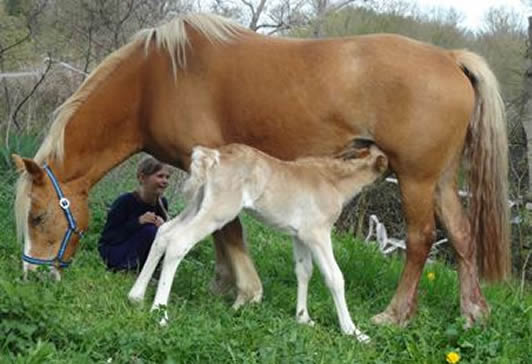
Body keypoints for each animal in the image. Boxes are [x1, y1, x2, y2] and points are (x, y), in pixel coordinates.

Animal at [129, 141, 386, 342]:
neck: (332, 180)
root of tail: (213, 156)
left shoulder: (299, 235)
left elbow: (304, 271)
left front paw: (303, 318)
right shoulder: (318, 233)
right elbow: (334, 277)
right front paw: (354, 332)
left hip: (198, 205)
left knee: (164, 233)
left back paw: (136, 296)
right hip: (218, 212)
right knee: (178, 242)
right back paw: (159, 314)